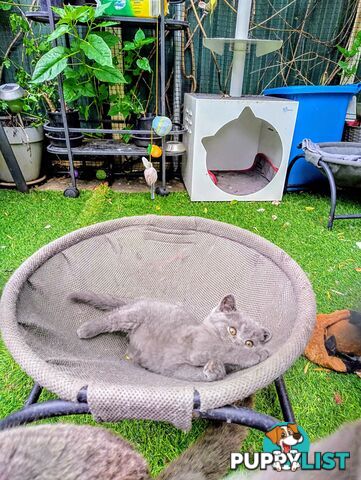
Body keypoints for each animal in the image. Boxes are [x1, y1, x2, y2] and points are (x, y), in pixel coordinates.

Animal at [70, 292, 270, 382]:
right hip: (133, 315)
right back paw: (85, 329)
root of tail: (139, 300)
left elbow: (196, 374)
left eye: (249, 342)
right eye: (232, 331)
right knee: (111, 318)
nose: (239, 342)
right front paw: (259, 354)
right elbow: (226, 351)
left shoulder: (176, 369)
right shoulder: (200, 347)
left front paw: (214, 369)